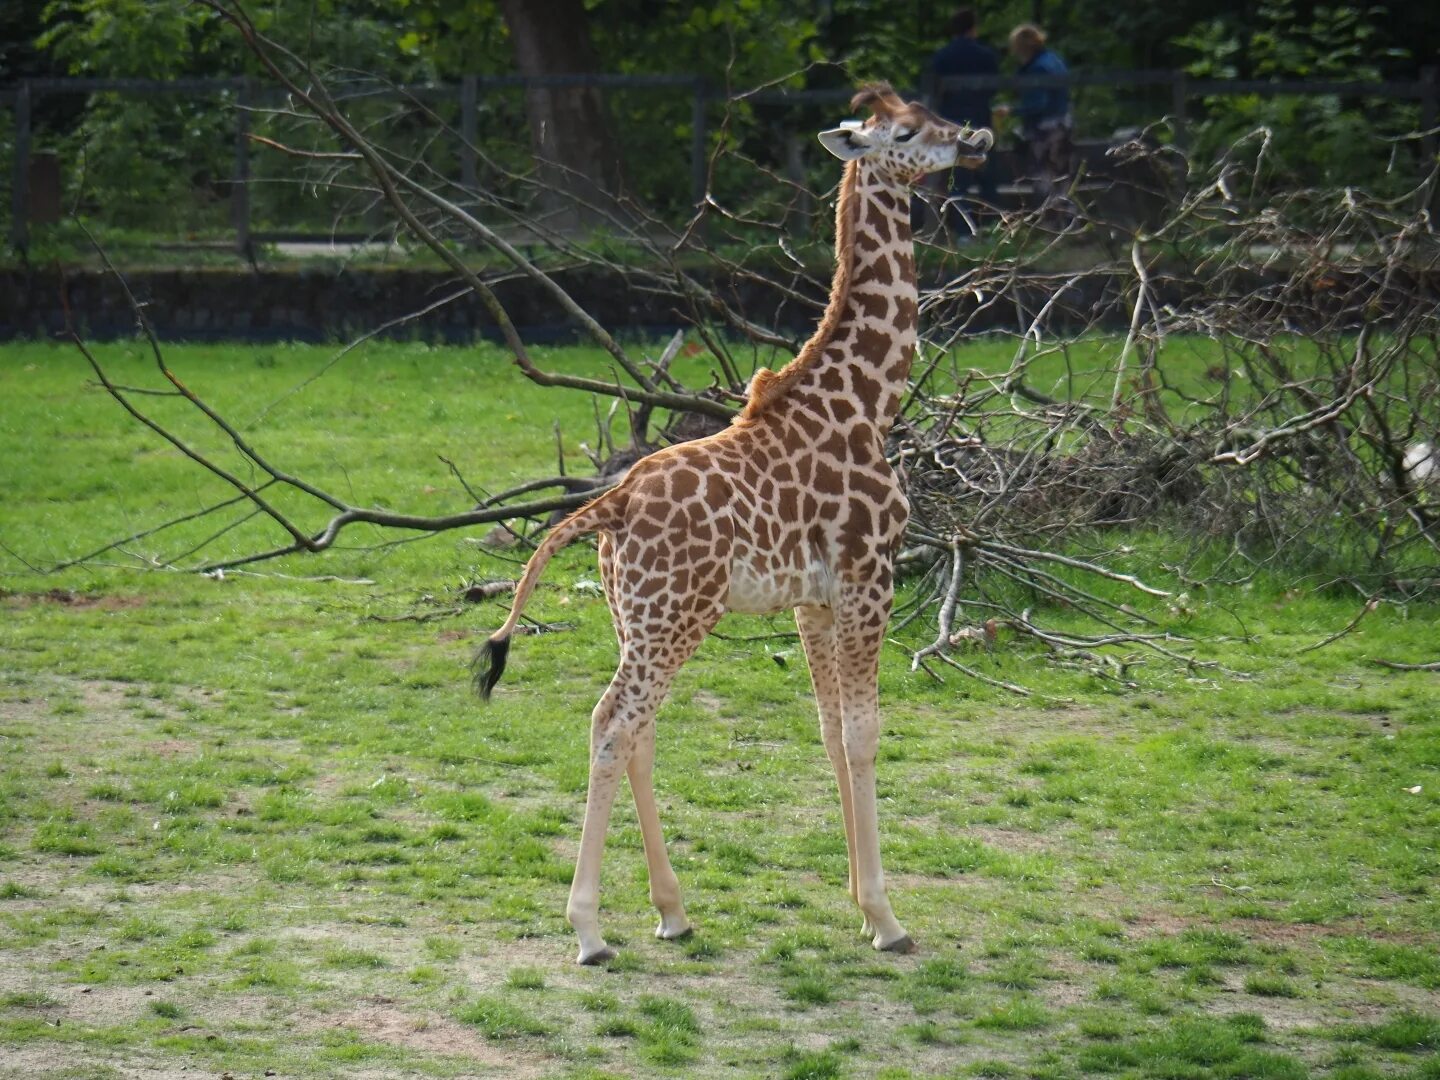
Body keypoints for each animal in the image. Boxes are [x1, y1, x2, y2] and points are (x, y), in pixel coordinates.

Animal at [478, 82, 996, 961]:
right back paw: (589, 930)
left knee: (639, 729)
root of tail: (610, 504)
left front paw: (860, 905)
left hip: (635, 614)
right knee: (612, 724)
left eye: (931, 114)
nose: (975, 138)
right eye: (903, 133)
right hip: (676, 616)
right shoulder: (870, 579)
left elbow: (828, 729)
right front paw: (888, 919)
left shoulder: (814, 599)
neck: (871, 400)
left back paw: (672, 911)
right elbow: (865, 732)